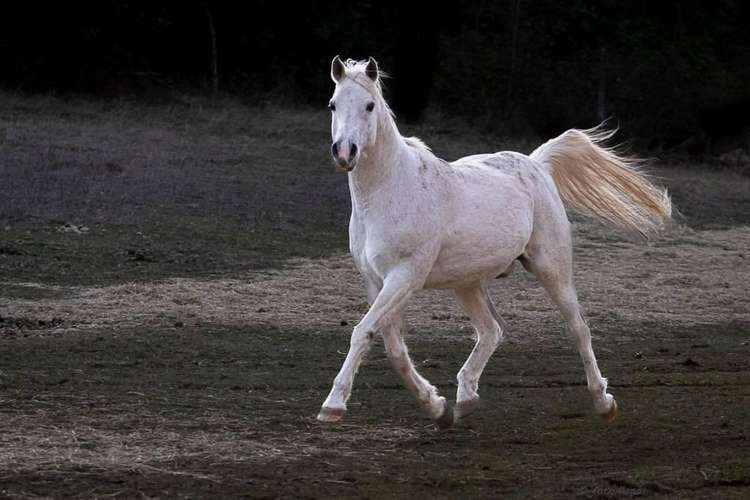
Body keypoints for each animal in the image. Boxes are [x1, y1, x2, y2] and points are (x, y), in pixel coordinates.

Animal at [317, 56, 672, 429]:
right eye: (332, 104)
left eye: (369, 105)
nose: (344, 152)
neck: (391, 191)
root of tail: (537, 164)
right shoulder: (376, 281)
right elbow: (393, 347)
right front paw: (436, 407)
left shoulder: (404, 277)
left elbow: (362, 332)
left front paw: (333, 406)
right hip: (467, 283)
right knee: (492, 330)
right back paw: (465, 399)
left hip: (551, 270)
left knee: (579, 328)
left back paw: (603, 402)